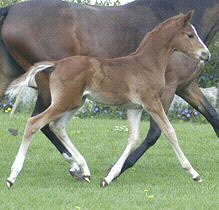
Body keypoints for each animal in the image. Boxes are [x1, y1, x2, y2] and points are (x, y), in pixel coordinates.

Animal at [6, 10, 210, 188]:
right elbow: (169, 132)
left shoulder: (134, 107)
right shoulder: (152, 102)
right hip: (65, 102)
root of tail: (56, 64)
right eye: (190, 35)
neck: (147, 64)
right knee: (34, 123)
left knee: (57, 126)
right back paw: (12, 176)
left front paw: (108, 178)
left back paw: (85, 170)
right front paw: (194, 173)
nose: (206, 54)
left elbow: (133, 139)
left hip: (75, 103)